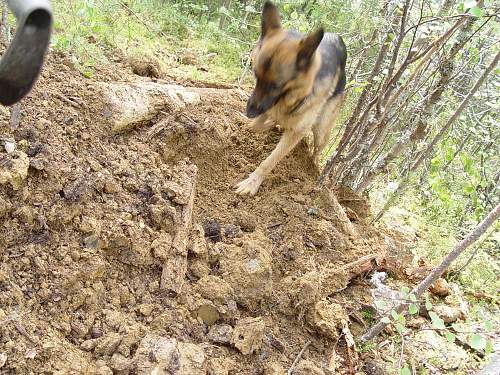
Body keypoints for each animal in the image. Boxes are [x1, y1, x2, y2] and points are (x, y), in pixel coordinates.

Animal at [235, 2, 346, 197]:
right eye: (256, 75)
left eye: (275, 85)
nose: (249, 112)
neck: (291, 96)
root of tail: (339, 39)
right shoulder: (269, 106)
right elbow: (255, 125)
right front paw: (250, 126)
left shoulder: (295, 132)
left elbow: (269, 161)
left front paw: (252, 182)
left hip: (322, 130)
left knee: (317, 150)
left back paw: (312, 167)